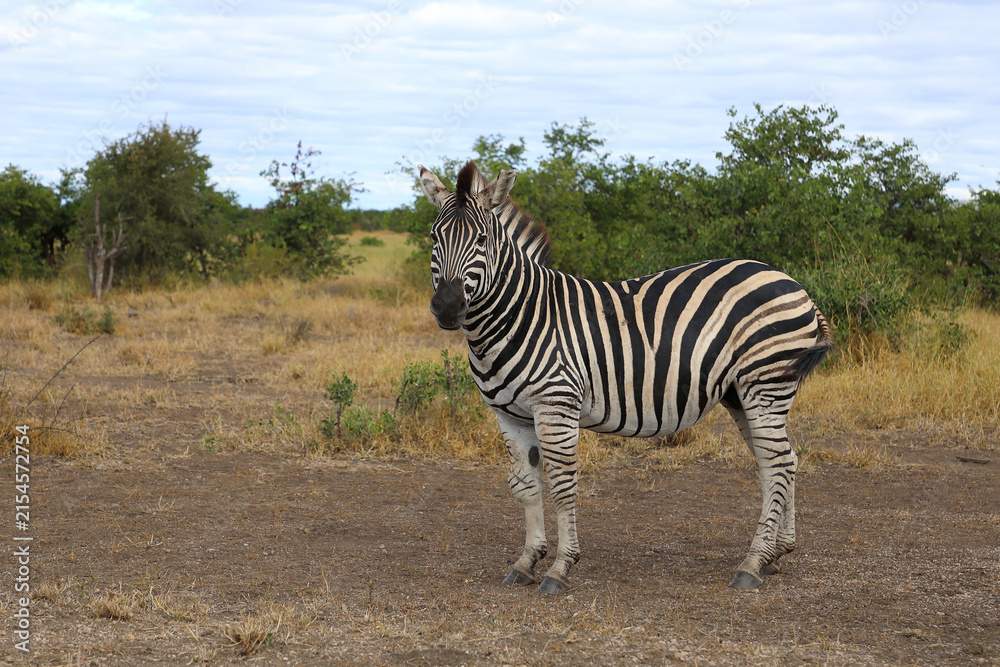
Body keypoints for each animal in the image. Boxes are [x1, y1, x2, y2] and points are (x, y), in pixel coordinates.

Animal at [419, 161, 833, 594]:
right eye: (433, 237)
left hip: (766, 384)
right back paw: (775, 553)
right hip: (742, 393)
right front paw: (527, 561)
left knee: (778, 463)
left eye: (482, 239)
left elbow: (562, 486)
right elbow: (526, 486)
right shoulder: (510, 414)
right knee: (782, 461)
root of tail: (791, 282)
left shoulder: (556, 405)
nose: (447, 307)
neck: (521, 315)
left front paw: (560, 568)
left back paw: (752, 563)